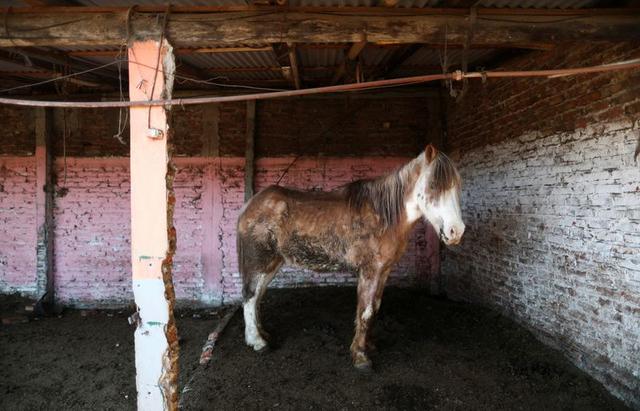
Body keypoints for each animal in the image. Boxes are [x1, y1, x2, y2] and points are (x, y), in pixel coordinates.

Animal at [238, 146, 462, 372]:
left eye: (456, 186)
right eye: (433, 185)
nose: (456, 231)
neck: (384, 216)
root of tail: (251, 205)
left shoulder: (384, 271)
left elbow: (375, 307)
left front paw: (369, 345)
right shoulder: (370, 271)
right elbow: (366, 310)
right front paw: (360, 356)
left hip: (272, 263)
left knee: (258, 296)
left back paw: (262, 334)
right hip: (260, 262)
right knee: (250, 296)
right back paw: (257, 342)